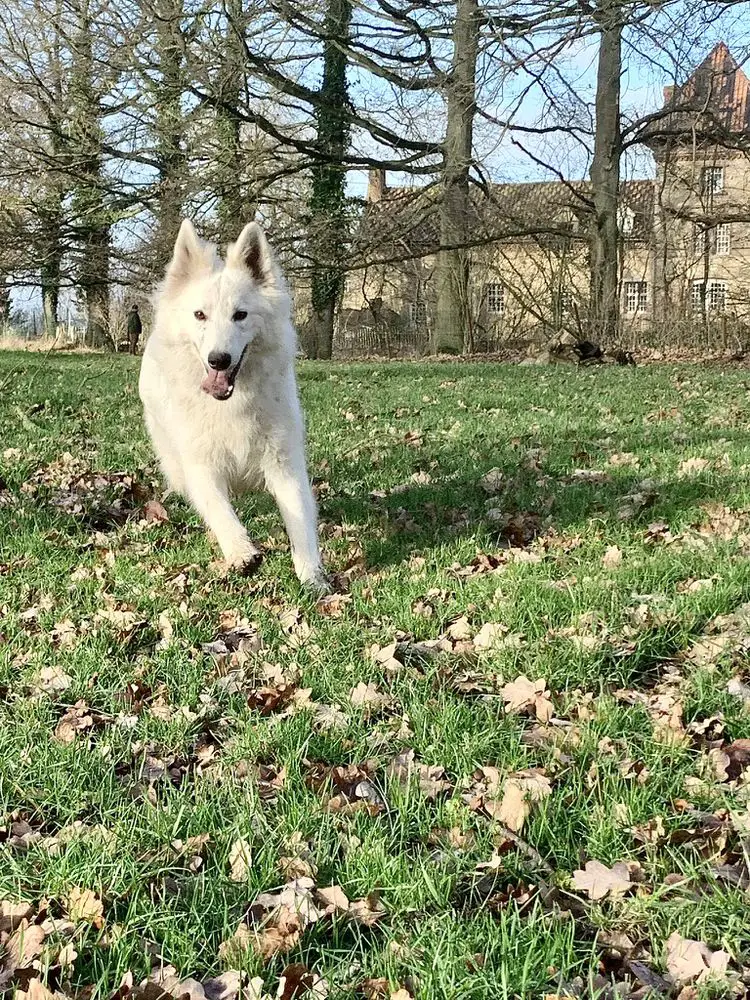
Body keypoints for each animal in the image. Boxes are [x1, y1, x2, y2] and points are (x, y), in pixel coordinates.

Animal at [141, 219, 328, 588]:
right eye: (200, 315)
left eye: (240, 315)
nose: (218, 359)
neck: (230, 404)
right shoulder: (201, 467)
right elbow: (220, 511)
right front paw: (241, 551)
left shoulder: (285, 464)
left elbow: (300, 518)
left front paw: (311, 576)